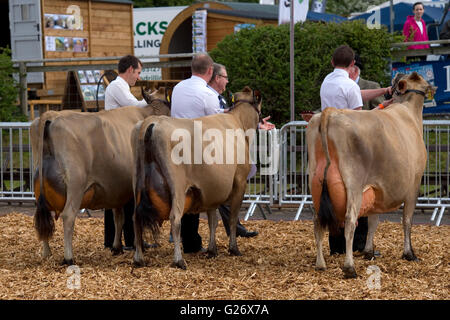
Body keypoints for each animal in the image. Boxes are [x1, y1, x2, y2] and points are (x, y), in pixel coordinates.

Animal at [29, 87, 171, 264]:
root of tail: (51, 116)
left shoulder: (116, 188)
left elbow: (118, 218)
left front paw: (116, 247)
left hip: (38, 189)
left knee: (43, 216)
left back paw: (46, 252)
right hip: (76, 184)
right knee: (68, 216)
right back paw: (69, 257)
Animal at [130, 86, 264, 268]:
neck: (238, 121)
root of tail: (152, 123)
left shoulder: (212, 189)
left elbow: (213, 220)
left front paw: (212, 250)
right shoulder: (240, 181)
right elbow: (232, 218)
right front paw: (234, 249)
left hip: (137, 181)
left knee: (136, 218)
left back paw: (139, 259)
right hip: (177, 186)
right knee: (175, 217)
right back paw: (179, 260)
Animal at [306, 72, 436, 278]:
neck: (408, 109)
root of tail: (331, 112)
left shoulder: (376, 187)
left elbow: (373, 221)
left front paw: (369, 251)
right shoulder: (414, 185)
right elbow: (407, 220)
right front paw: (409, 253)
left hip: (316, 185)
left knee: (317, 221)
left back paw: (320, 264)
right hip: (354, 184)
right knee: (350, 221)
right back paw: (349, 267)